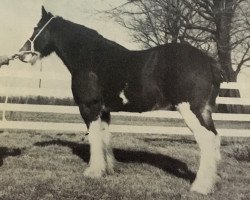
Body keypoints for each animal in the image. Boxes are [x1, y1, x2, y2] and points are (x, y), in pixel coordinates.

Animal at [20, 6, 223, 195]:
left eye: (36, 28)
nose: (22, 54)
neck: (91, 58)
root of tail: (207, 61)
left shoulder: (89, 108)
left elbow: (94, 138)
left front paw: (93, 172)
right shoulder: (104, 111)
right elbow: (105, 138)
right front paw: (108, 169)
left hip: (190, 110)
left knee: (206, 140)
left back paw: (200, 187)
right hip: (204, 112)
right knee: (214, 138)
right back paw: (212, 183)